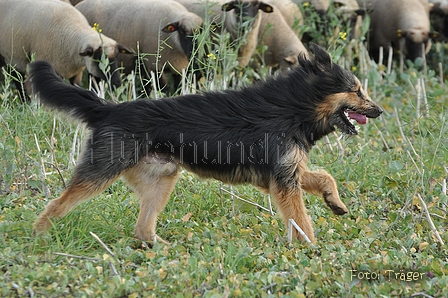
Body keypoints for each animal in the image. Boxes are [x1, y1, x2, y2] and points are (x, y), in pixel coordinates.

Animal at [27, 44, 382, 244]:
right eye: (357, 91)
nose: (379, 111)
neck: (293, 107)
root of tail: (108, 109)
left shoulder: (283, 173)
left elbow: (324, 177)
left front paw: (334, 203)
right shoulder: (282, 180)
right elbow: (301, 220)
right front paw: (312, 249)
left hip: (162, 179)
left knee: (142, 229)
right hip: (101, 172)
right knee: (56, 204)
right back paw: (40, 238)